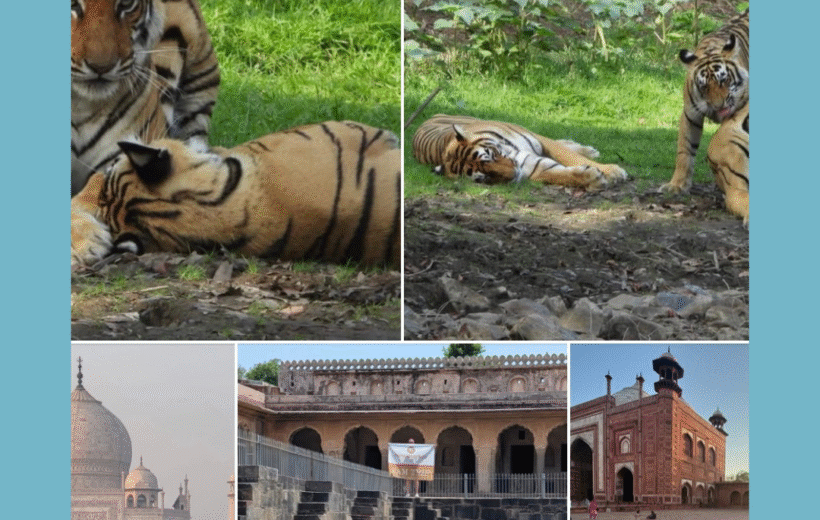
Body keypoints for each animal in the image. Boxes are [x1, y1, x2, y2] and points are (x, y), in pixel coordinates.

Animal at [412, 114, 627, 190]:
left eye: (490, 155)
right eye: (484, 177)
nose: (514, 174)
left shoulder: (539, 140)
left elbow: (569, 156)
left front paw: (613, 172)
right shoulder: (533, 167)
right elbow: (559, 174)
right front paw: (592, 178)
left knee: (566, 146)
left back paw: (589, 150)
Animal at [661, 9, 749, 194]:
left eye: (724, 80)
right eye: (704, 87)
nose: (718, 106)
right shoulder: (690, 114)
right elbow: (685, 150)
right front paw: (677, 185)